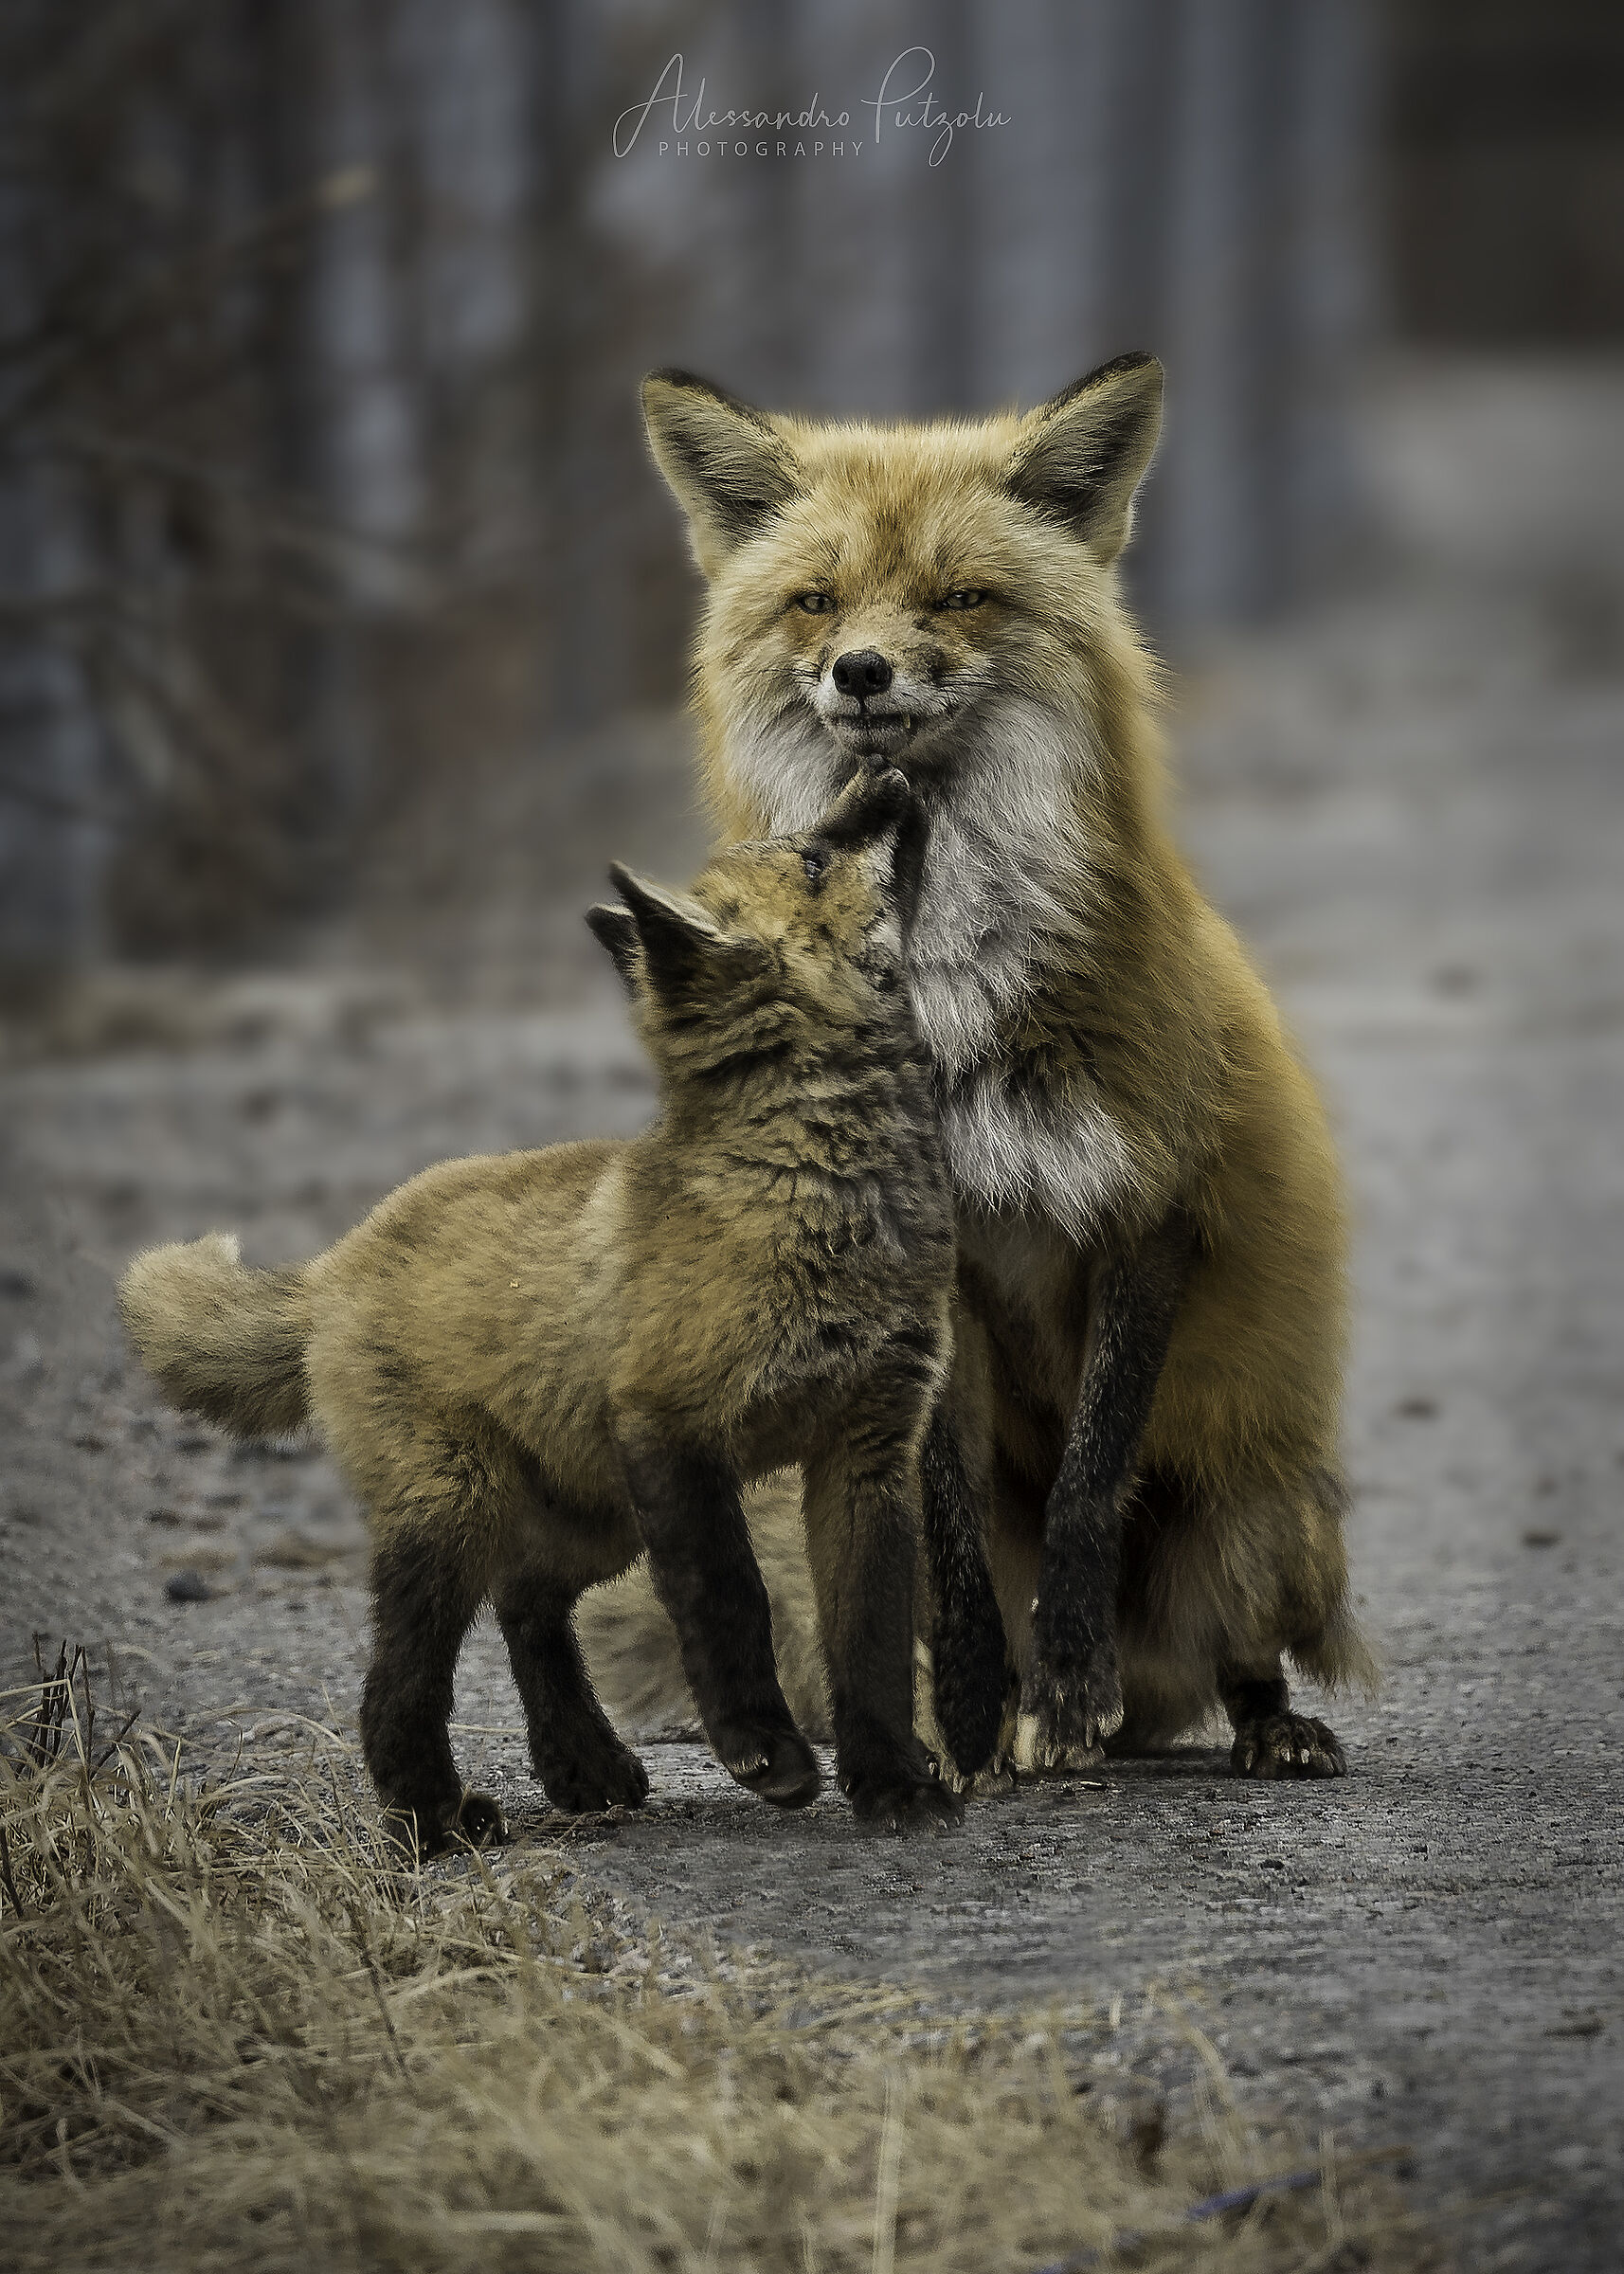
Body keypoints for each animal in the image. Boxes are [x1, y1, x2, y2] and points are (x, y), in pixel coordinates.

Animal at [118, 767, 965, 1848]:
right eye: (814, 858)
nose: (886, 774)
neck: (814, 1193)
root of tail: (339, 1260)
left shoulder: (866, 1448)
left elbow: (872, 1638)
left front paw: (892, 1781)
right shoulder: (675, 1431)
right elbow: (730, 1603)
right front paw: (764, 1752)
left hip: (595, 1517)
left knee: (527, 1609)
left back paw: (580, 1765)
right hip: (460, 1510)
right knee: (400, 1680)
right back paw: (433, 1816)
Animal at [596, 352, 1377, 1787]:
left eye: (961, 597)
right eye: (816, 600)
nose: (859, 671)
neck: (945, 973)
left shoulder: (1150, 1205)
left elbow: (1088, 1485)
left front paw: (1061, 1693)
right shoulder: (925, 1252)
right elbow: (948, 1532)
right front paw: (974, 1711)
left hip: (1256, 1508)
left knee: (1230, 1647)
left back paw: (1249, 1721)